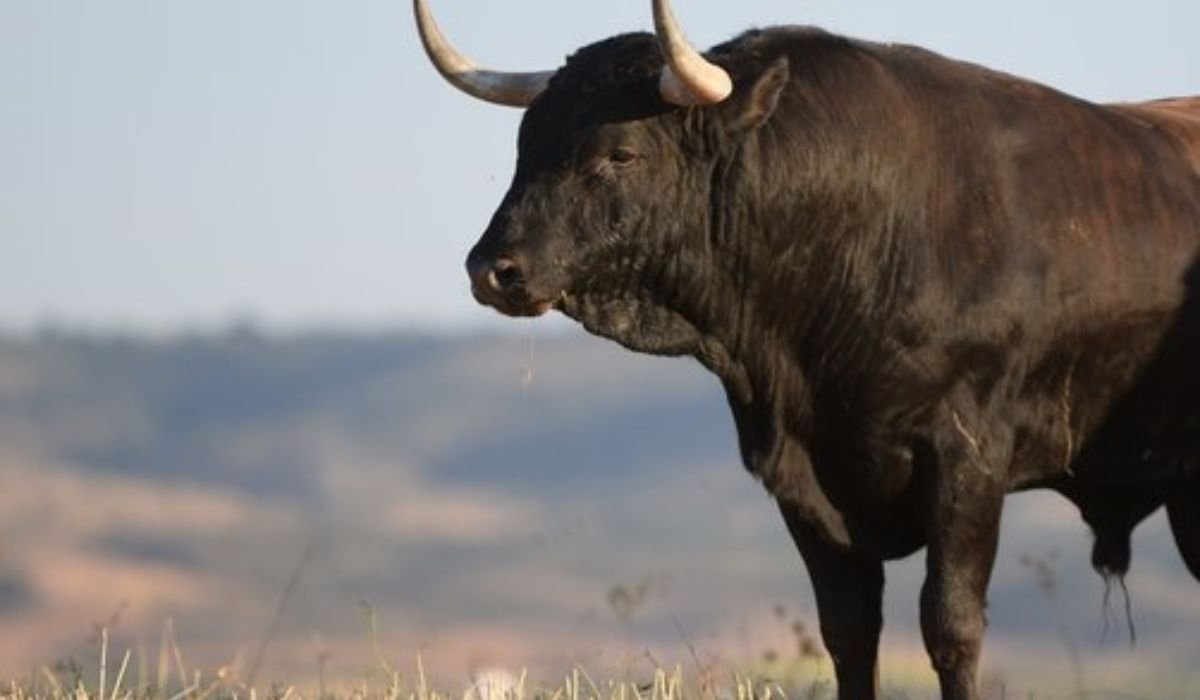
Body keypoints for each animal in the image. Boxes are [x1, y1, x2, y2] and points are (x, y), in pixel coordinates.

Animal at [413, 1, 1200, 698]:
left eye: (621, 152)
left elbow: (950, 627)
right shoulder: (803, 479)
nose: (493, 269)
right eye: (525, 147)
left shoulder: (969, 460)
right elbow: (848, 633)